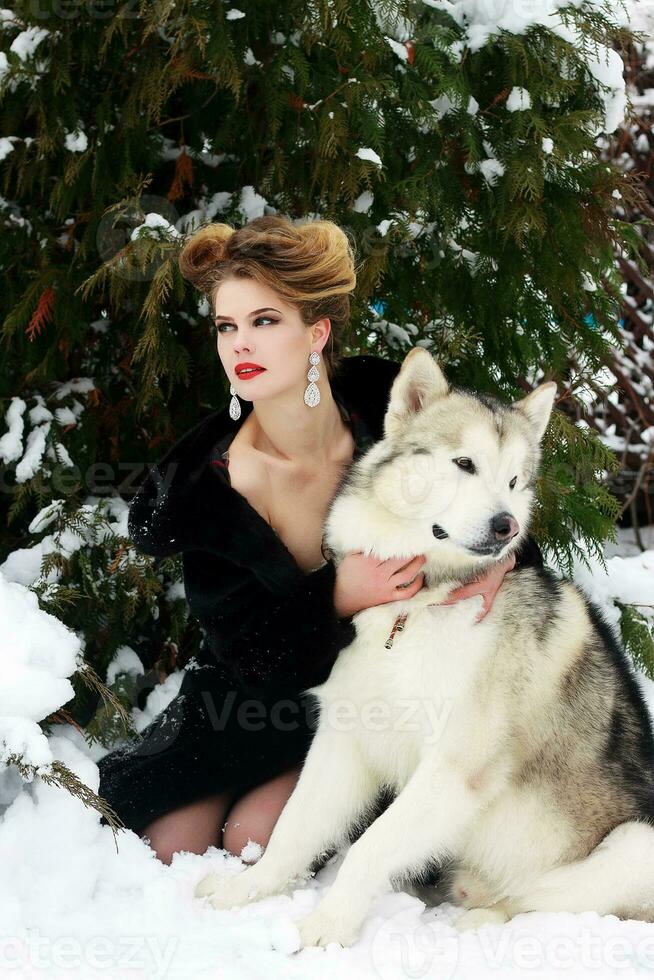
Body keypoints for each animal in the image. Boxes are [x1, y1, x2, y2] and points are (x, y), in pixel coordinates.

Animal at [195, 346, 654, 948]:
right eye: (465, 464)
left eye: (514, 480)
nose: (506, 526)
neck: (412, 610)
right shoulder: (345, 739)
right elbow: (291, 831)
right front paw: (244, 891)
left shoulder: (452, 769)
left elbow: (368, 849)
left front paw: (326, 928)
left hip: (633, 846)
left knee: (528, 903)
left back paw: (479, 924)